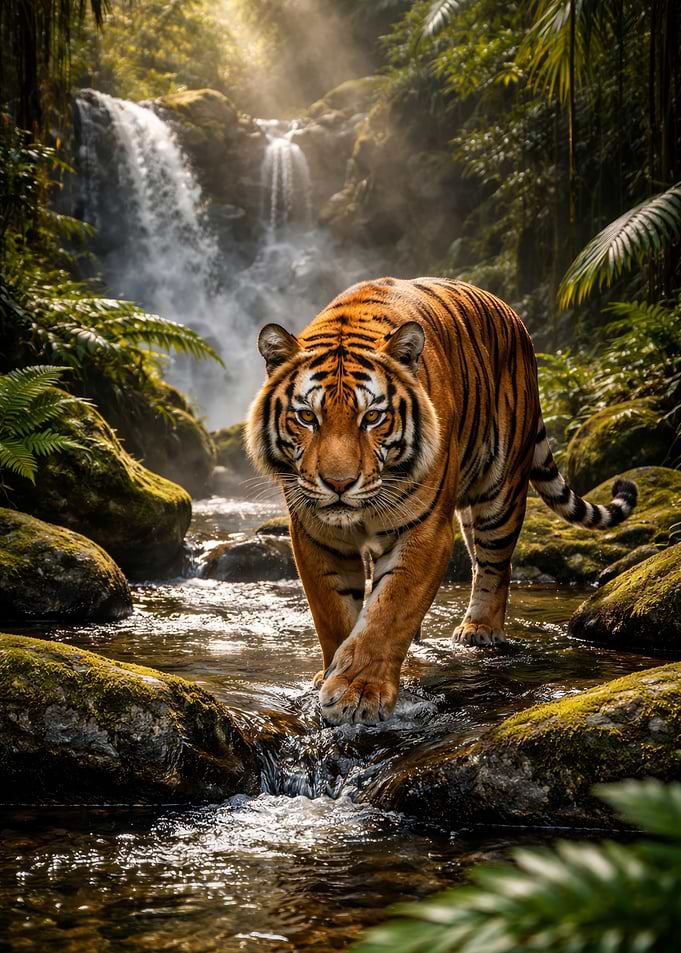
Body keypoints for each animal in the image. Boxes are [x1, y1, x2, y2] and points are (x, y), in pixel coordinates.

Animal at [246, 277, 637, 726]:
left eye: (372, 417)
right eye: (307, 417)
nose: (339, 483)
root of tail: (515, 317)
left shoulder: (426, 529)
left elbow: (389, 611)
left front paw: (358, 692)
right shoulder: (316, 534)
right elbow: (335, 613)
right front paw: (329, 674)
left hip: (500, 494)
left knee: (495, 566)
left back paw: (479, 630)